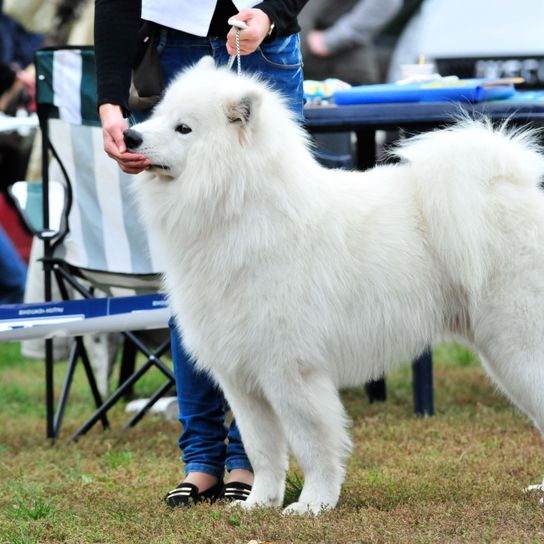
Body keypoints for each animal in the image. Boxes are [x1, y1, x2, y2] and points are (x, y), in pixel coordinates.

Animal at [126, 57, 544, 512]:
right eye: (157, 115)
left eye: (183, 128)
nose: (129, 135)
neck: (241, 206)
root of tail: (511, 188)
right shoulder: (241, 376)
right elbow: (262, 450)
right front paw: (257, 504)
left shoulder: (290, 369)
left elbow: (312, 445)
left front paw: (313, 505)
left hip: (517, 348)